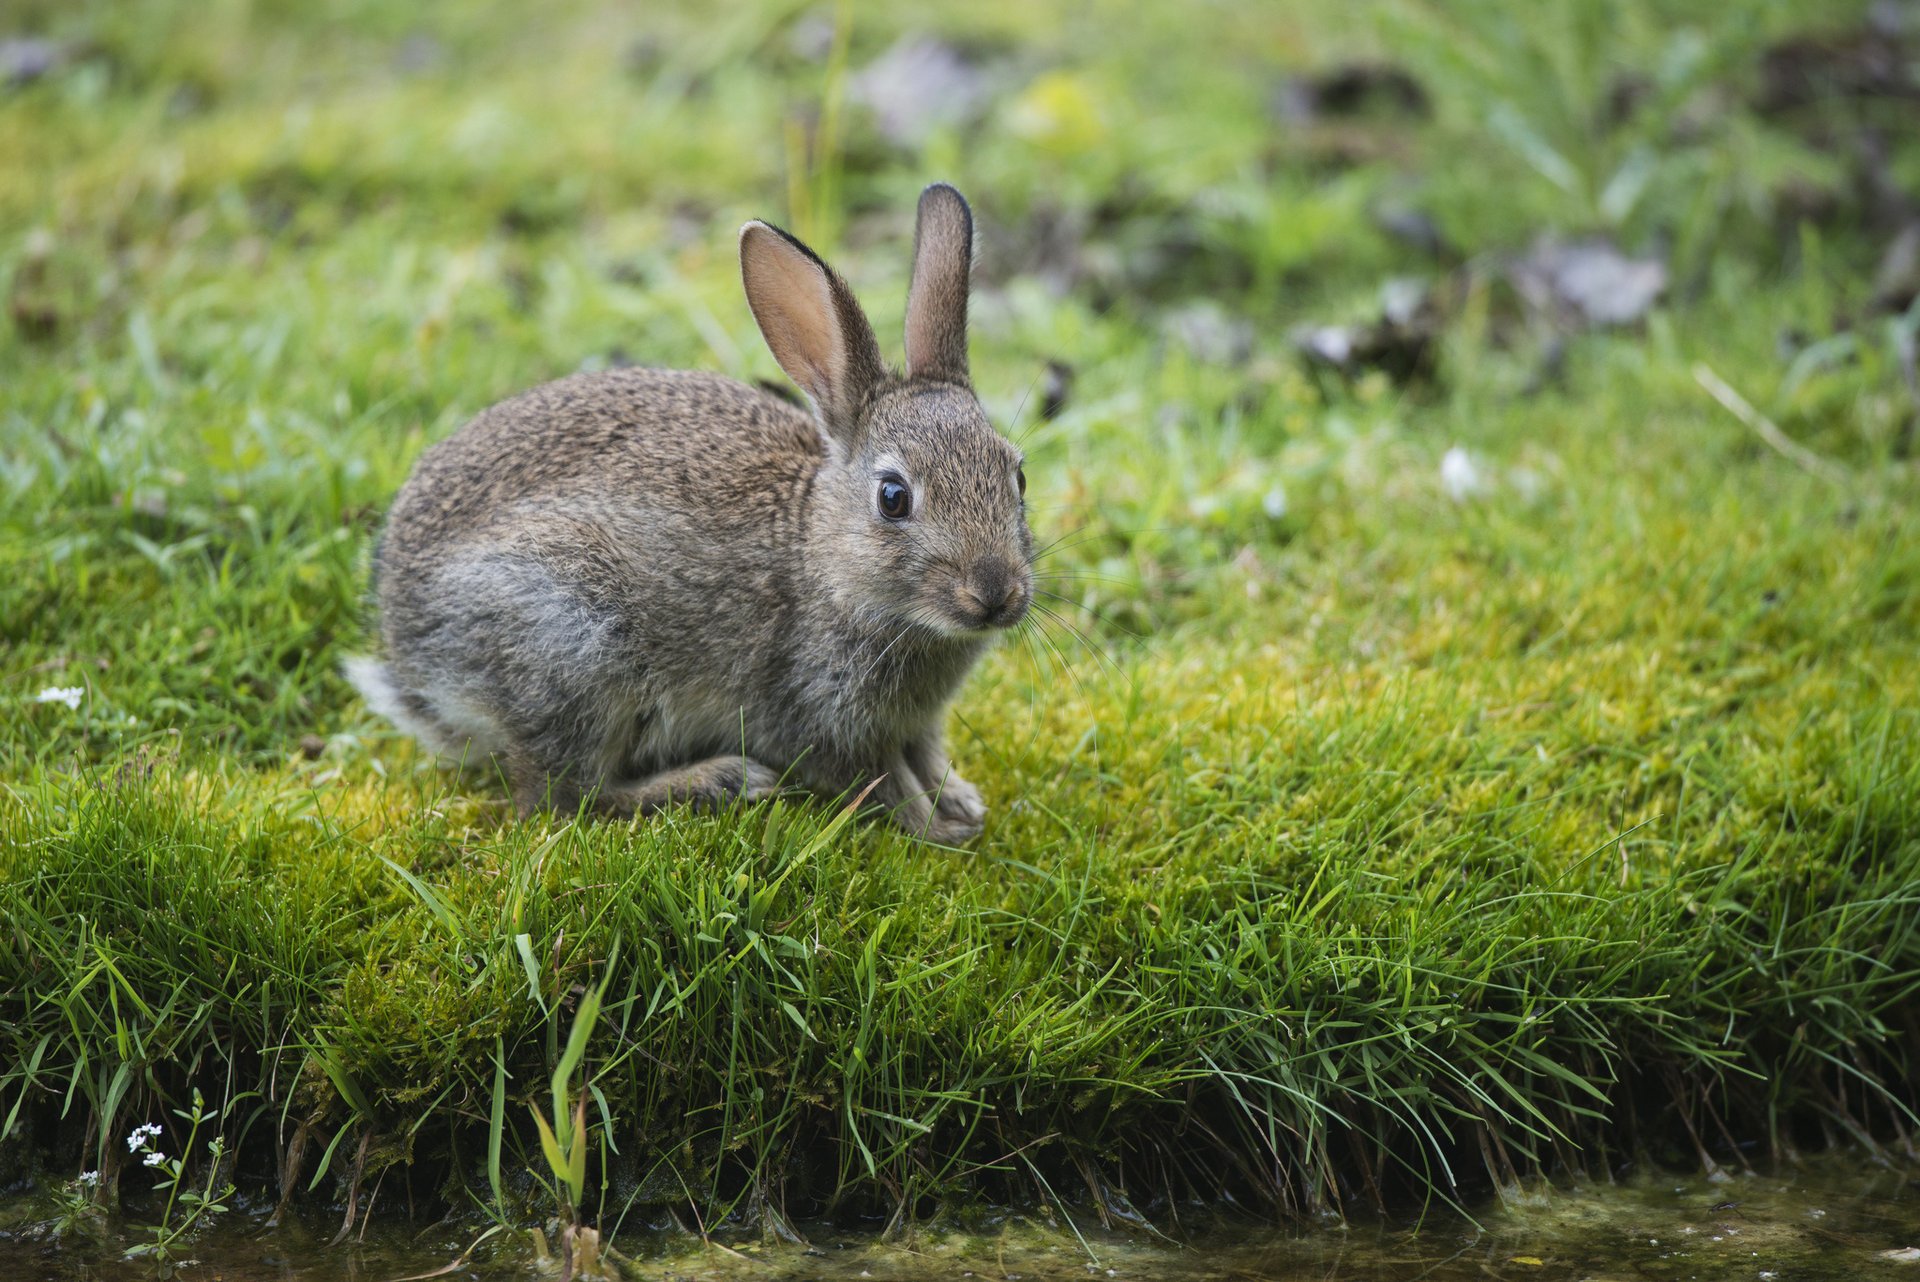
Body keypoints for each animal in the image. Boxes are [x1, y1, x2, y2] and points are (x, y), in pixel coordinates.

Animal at [345, 183, 1032, 844]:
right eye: (893, 497)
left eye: (1017, 476)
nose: (995, 593)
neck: (821, 558)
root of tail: (411, 651)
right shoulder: (819, 714)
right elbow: (882, 780)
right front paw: (937, 828)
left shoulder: (917, 723)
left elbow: (927, 756)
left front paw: (961, 801)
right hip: (571, 643)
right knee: (566, 799)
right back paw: (722, 780)